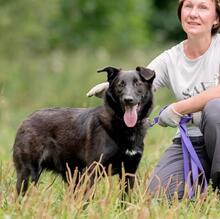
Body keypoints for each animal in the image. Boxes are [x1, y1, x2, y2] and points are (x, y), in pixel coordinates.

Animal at [12, 66, 155, 197]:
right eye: (120, 84)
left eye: (138, 83)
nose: (128, 99)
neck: (124, 127)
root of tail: (26, 119)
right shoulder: (92, 172)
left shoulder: (129, 172)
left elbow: (125, 201)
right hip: (28, 174)